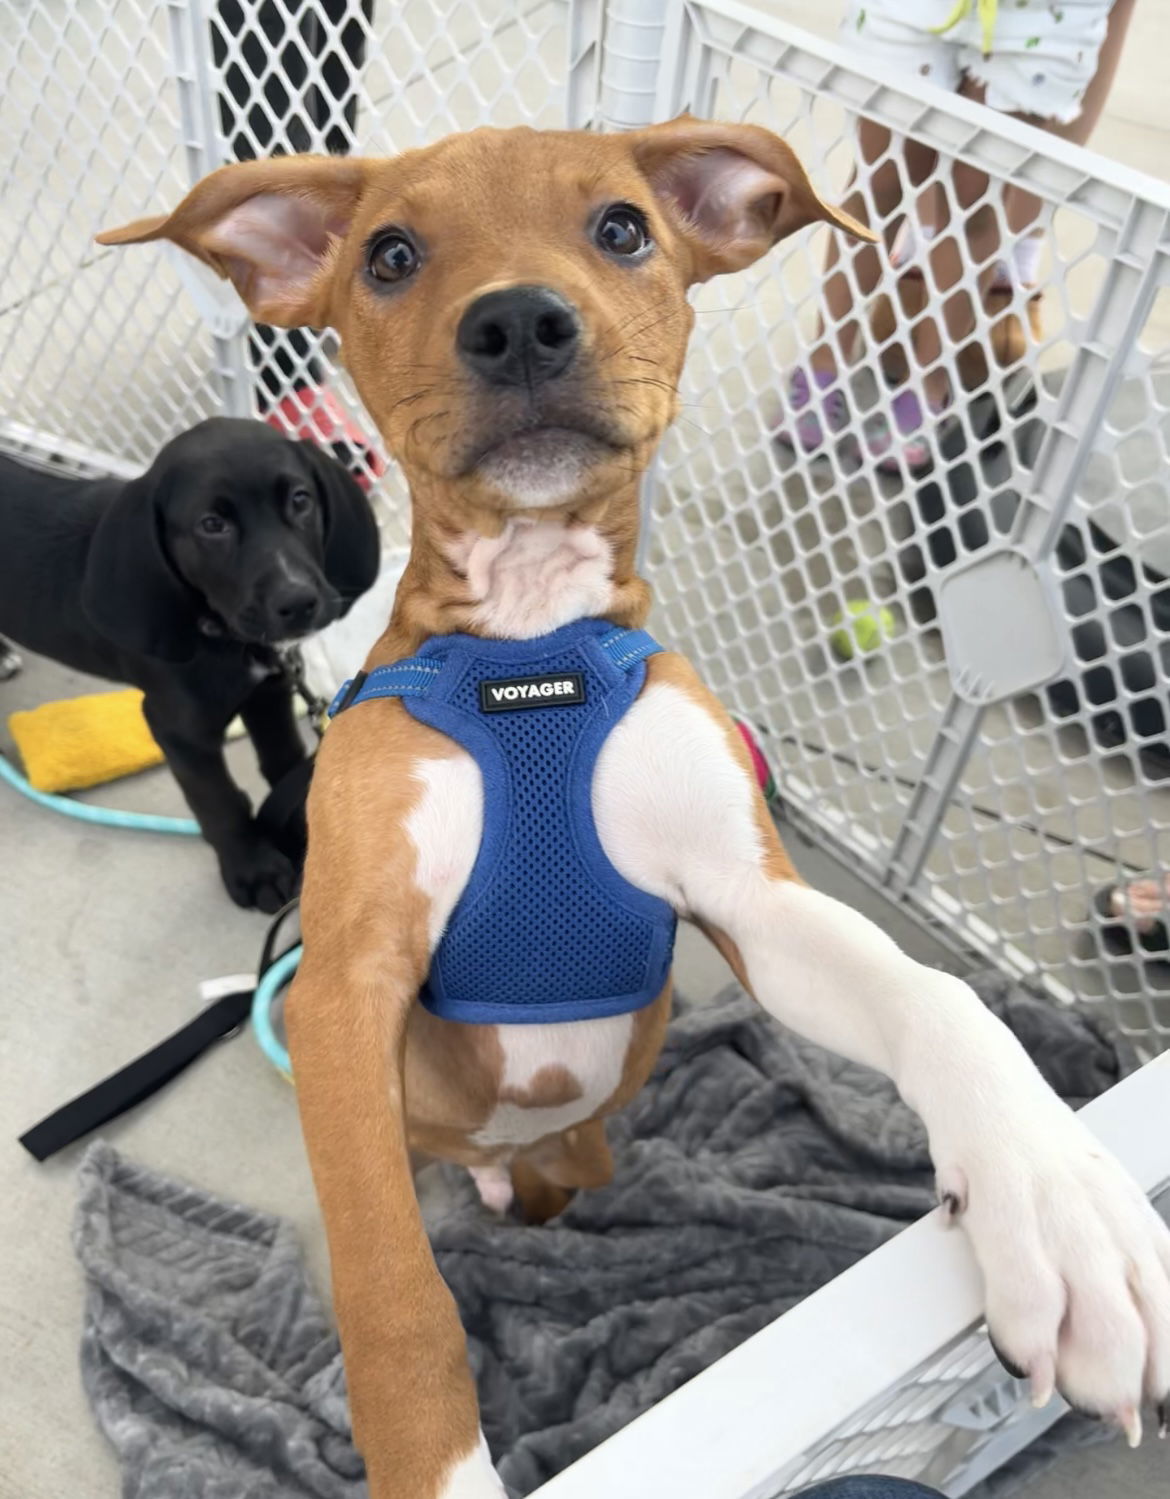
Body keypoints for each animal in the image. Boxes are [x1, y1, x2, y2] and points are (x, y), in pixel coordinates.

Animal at [0, 416, 379, 905]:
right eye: (212, 525)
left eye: (300, 499)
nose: (298, 602)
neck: (223, 634)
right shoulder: (177, 728)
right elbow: (217, 801)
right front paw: (254, 870)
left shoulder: (268, 691)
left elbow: (283, 758)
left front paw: (299, 816)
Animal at [100, 119, 1168, 1499]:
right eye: (389, 254)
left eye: (621, 227)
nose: (518, 324)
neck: (529, 649)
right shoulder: (346, 982)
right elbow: (391, 1287)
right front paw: (438, 1459)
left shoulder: (752, 900)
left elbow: (940, 996)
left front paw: (1064, 1202)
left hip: (594, 1127)